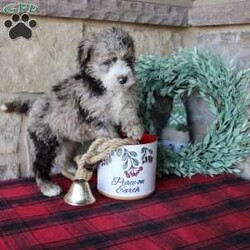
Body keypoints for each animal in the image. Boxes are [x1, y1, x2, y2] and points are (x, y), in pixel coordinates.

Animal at [0, 26, 144, 195]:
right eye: (108, 61)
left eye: (128, 60)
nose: (123, 79)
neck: (108, 89)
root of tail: (34, 103)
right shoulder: (95, 115)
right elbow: (109, 133)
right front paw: (115, 142)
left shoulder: (127, 102)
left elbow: (129, 113)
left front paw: (135, 130)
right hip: (46, 138)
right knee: (39, 163)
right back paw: (48, 187)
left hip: (68, 138)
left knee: (64, 155)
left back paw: (71, 168)